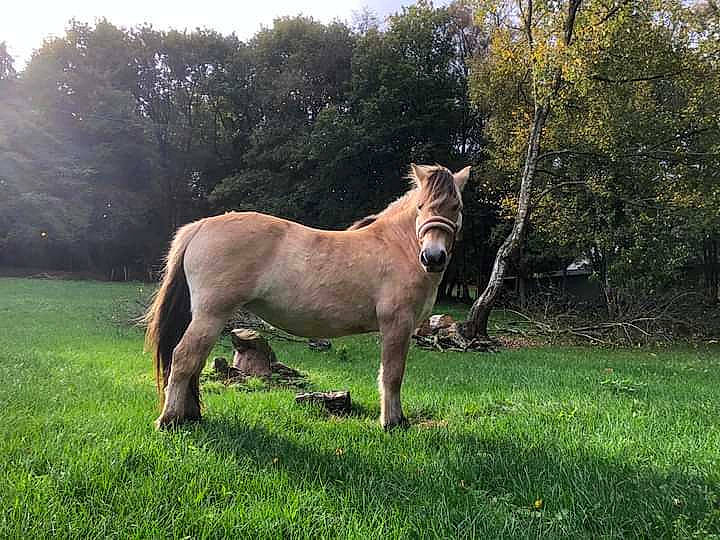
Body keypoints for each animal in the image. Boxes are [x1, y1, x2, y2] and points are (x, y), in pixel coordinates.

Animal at [145, 163, 470, 430]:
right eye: (420, 206)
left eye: (456, 206)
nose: (433, 258)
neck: (397, 246)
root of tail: (200, 226)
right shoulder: (396, 325)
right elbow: (392, 374)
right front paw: (393, 422)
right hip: (211, 314)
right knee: (184, 358)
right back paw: (170, 420)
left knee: (195, 362)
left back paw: (190, 416)